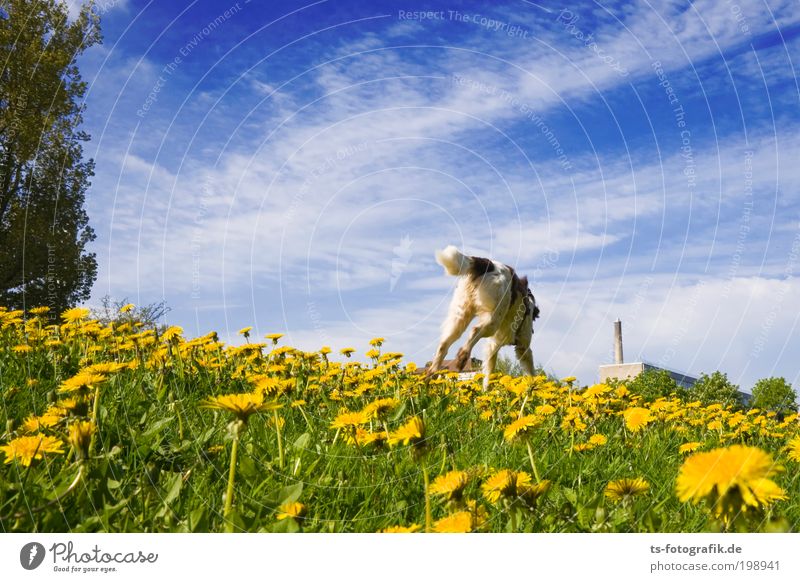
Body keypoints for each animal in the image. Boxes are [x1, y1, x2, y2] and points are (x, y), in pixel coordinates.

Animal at [428, 244, 540, 390]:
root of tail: (487, 263)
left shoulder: (493, 346)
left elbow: (488, 374)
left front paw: (486, 392)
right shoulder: (523, 347)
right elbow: (530, 372)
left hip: (460, 315)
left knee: (443, 344)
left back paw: (431, 377)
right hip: (493, 319)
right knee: (475, 331)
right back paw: (462, 357)